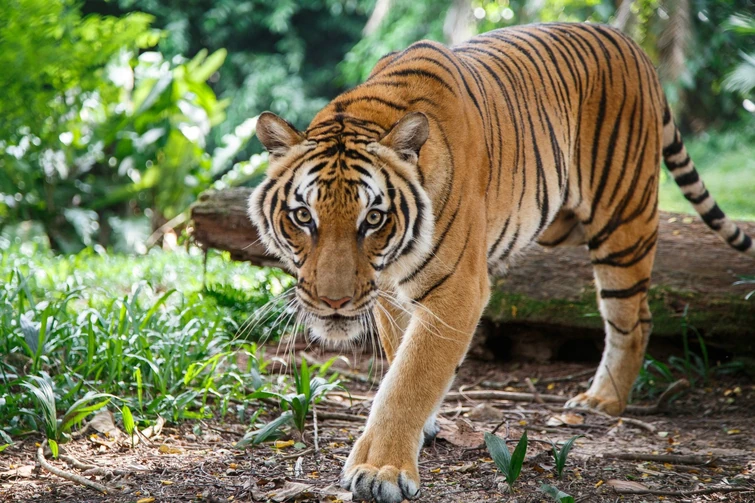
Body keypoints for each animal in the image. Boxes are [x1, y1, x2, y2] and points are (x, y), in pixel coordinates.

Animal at [248, 22, 755, 503]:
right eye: (303, 216)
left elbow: (409, 380)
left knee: (634, 317)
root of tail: (631, 45)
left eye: (373, 219)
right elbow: (400, 359)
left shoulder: (457, 289)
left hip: (623, 221)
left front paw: (381, 471)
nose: (333, 302)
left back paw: (602, 400)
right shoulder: (388, 293)